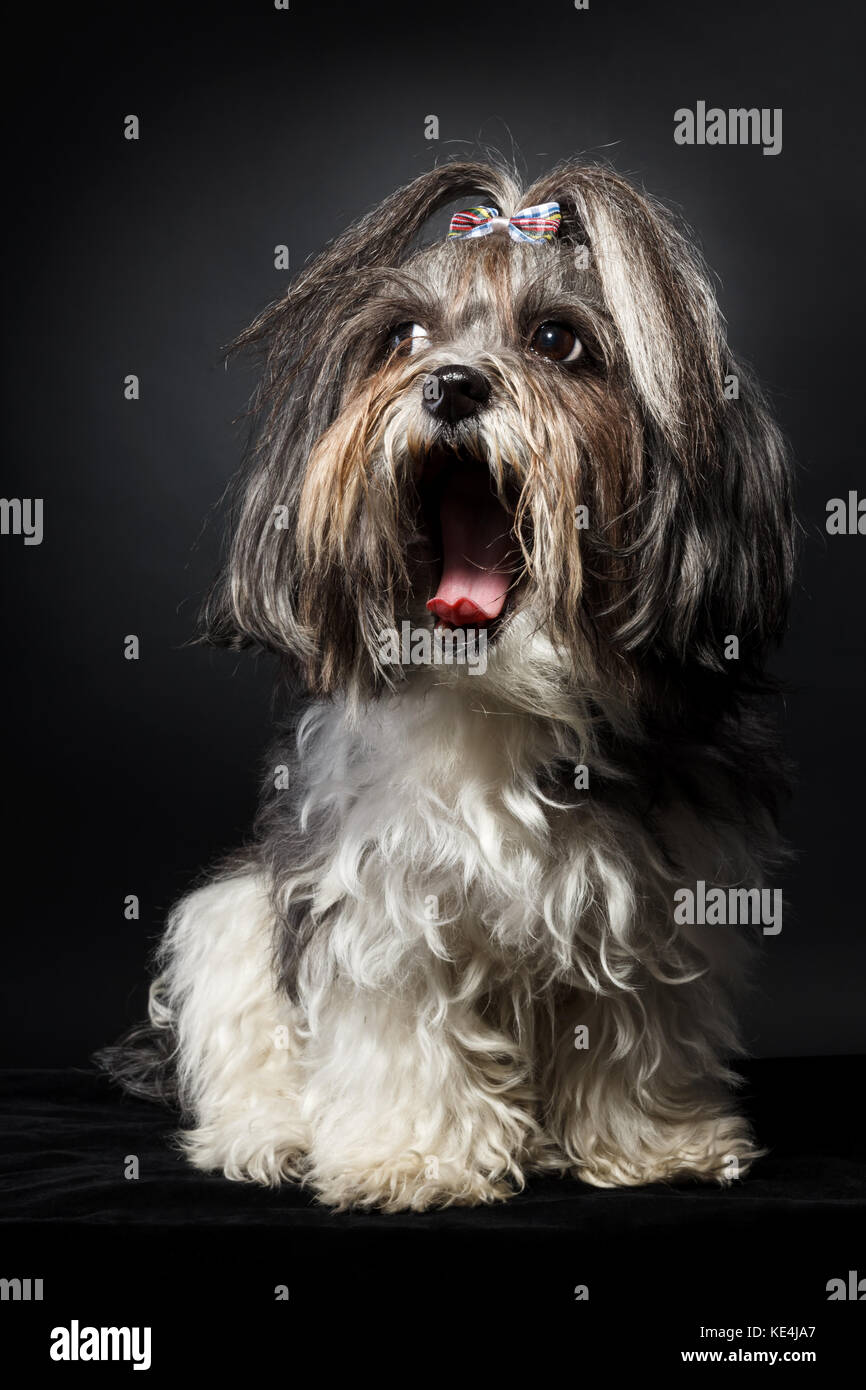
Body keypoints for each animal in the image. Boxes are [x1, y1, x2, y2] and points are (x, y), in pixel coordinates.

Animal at [100, 159, 795, 1206]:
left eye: (558, 340)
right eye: (404, 337)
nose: (452, 384)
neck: (501, 693)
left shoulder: (650, 901)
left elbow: (636, 1030)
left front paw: (650, 1144)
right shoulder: (375, 895)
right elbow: (399, 1028)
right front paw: (411, 1155)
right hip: (225, 921)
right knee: (245, 1050)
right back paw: (268, 1137)